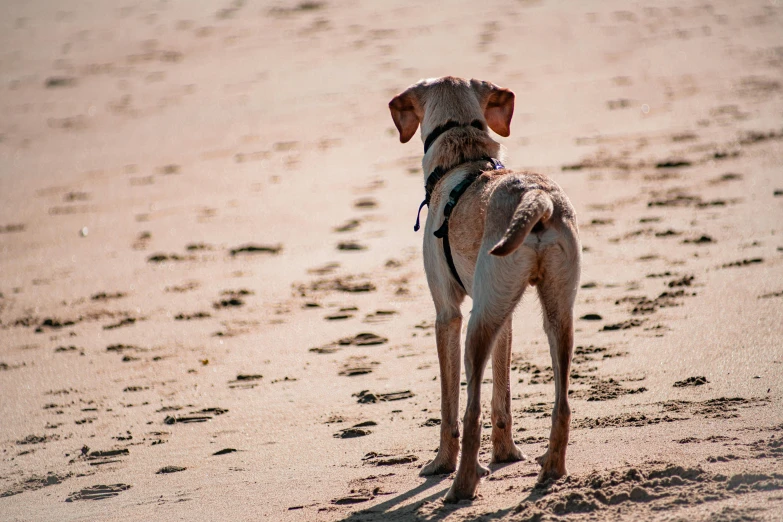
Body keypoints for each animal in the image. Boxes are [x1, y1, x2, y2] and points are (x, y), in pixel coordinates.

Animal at [388, 76, 580, 500]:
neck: (463, 158)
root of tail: (537, 198)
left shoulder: (448, 315)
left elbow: (449, 406)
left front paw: (441, 463)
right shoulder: (504, 319)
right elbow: (502, 397)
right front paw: (507, 455)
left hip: (477, 326)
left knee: (470, 410)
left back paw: (460, 486)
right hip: (555, 315)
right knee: (561, 404)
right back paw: (551, 470)